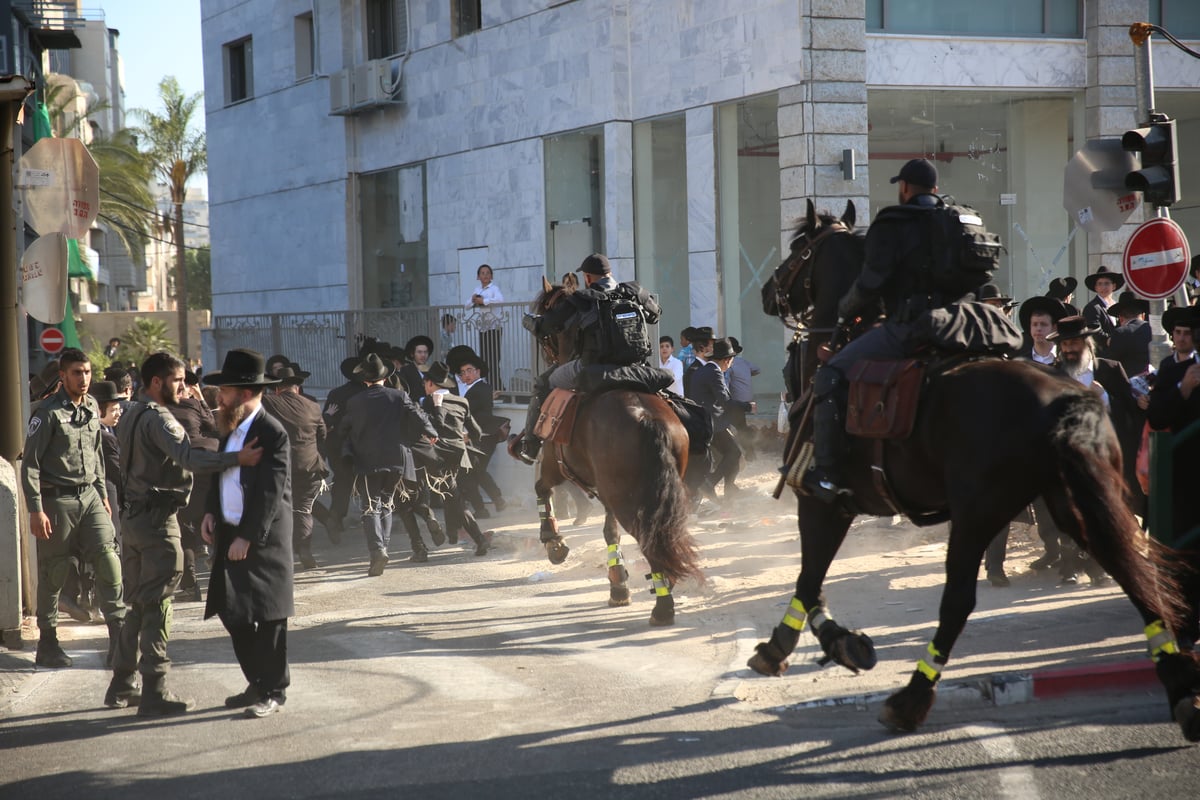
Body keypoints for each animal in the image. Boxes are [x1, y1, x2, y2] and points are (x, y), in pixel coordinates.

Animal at [518, 275, 700, 623]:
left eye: (547, 318)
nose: (547, 356)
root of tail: (646, 418)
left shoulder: (554, 464)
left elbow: (541, 489)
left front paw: (553, 543)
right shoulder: (605, 490)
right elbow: (609, 532)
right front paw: (618, 585)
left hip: (629, 497)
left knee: (650, 539)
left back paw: (662, 606)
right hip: (651, 491)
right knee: (664, 535)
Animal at [748, 199, 1200, 738]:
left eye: (800, 249)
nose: (767, 291)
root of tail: (1063, 399)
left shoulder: (822, 499)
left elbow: (809, 578)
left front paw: (804, 643)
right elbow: (812, 580)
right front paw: (833, 643)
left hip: (977, 513)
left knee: (958, 601)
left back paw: (912, 697)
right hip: (1073, 503)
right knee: (1130, 570)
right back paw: (1179, 686)